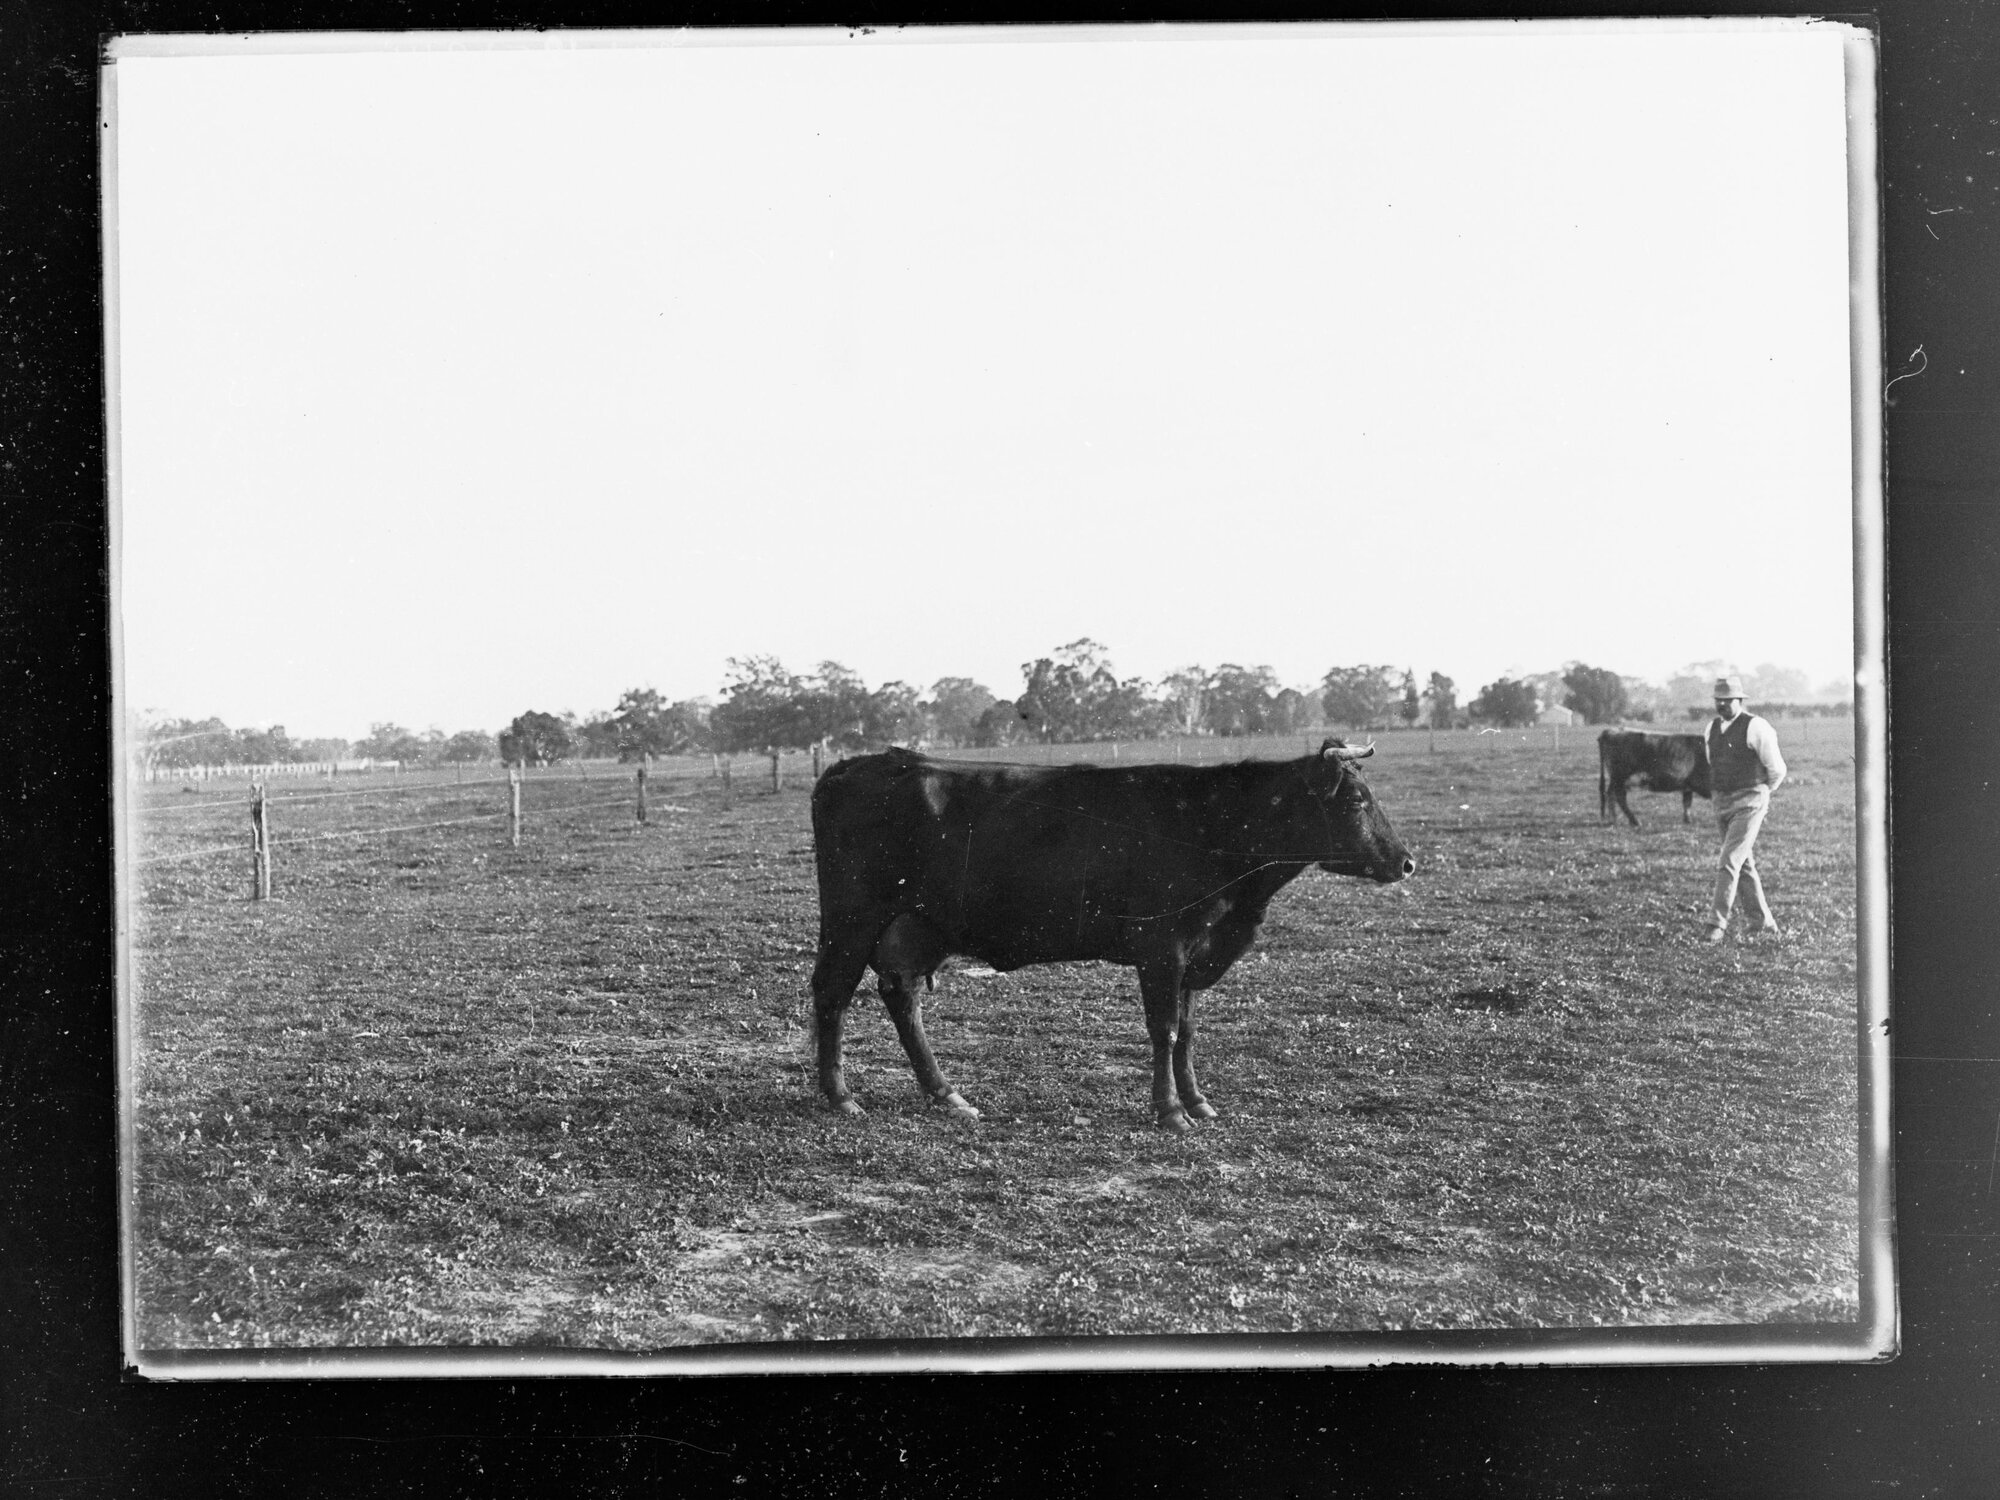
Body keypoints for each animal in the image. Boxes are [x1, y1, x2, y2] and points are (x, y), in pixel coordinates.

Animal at [808, 739, 1414, 1132]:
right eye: (1357, 801)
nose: (1406, 862)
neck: (1210, 823)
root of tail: (856, 765)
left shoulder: (1193, 951)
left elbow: (1188, 1033)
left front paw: (1197, 1101)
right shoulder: (1162, 947)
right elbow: (1164, 1030)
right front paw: (1170, 1111)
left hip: (914, 926)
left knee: (901, 996)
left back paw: (946, 1094)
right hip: (852, 917)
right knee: (833, 992)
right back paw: (840, 1097)